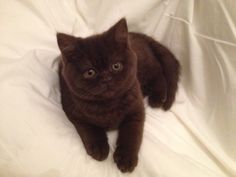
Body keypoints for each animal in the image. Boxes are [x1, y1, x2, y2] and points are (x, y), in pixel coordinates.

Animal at [56, 18, 179, 172]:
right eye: (90, 72)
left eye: (116, 66)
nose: (106, 78)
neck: (108, 103)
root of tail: (138, 35)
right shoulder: (71, 108)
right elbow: (88, 127)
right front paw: (99, 147)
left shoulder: (136, 108)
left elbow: (132, 133)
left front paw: (126, 158)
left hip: (145, 66)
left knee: (158, 72)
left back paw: (157, 98)